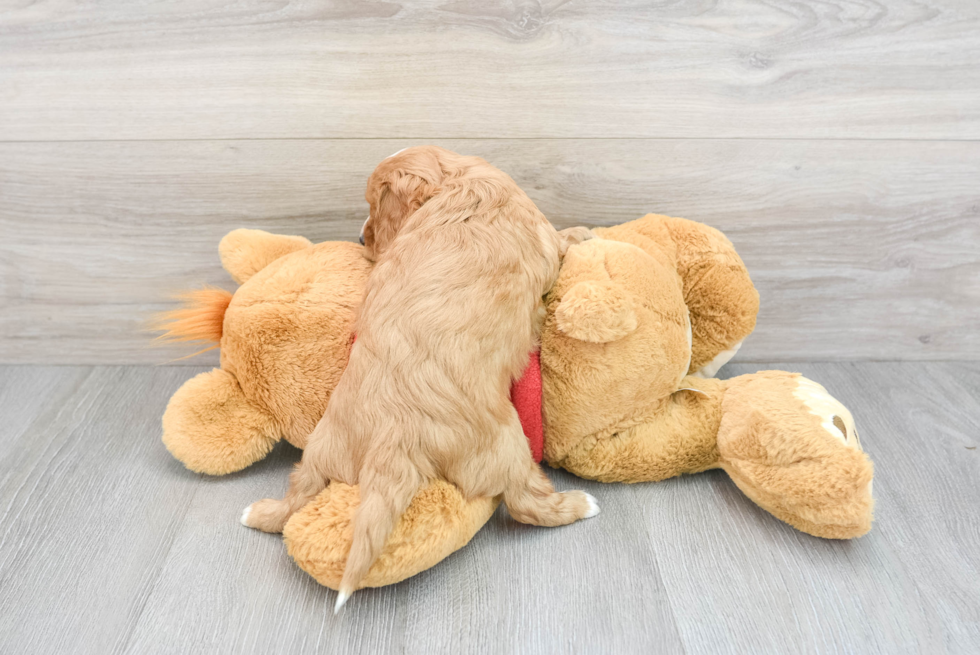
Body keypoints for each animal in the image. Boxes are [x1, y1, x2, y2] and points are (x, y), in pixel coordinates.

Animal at [243, 147, 596, 608]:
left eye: (372, 204)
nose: (361, 240)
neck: (457, 181)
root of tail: (393, 436)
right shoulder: (544, 238)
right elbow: (562, 239)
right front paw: (585, 232)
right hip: (505, 447)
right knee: (525, 504)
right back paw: (581, 505)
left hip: (322, 450)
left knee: (296, 495)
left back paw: (257, 513)